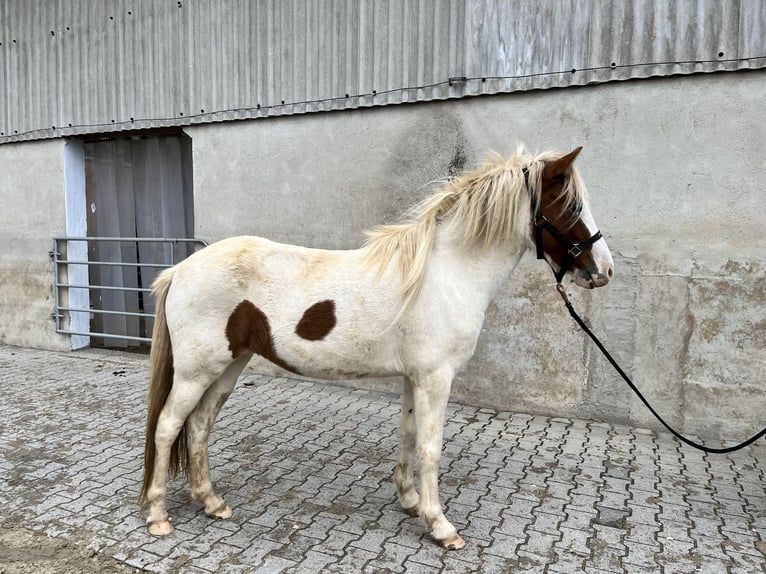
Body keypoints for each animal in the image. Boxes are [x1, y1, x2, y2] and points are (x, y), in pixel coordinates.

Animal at [140, 146, 616, 552]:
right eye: (571, 208)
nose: (604, 271)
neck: (445, 274)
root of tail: (181, 270)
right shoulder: (435, 379)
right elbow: (430, 447)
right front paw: (441, 525)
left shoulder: (414, 378)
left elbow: (407, 435)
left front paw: (410, 501)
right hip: (196, 372)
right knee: (167, 427)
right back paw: (159, 515)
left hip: (227, 367)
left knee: (198, 426)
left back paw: (211, 502)